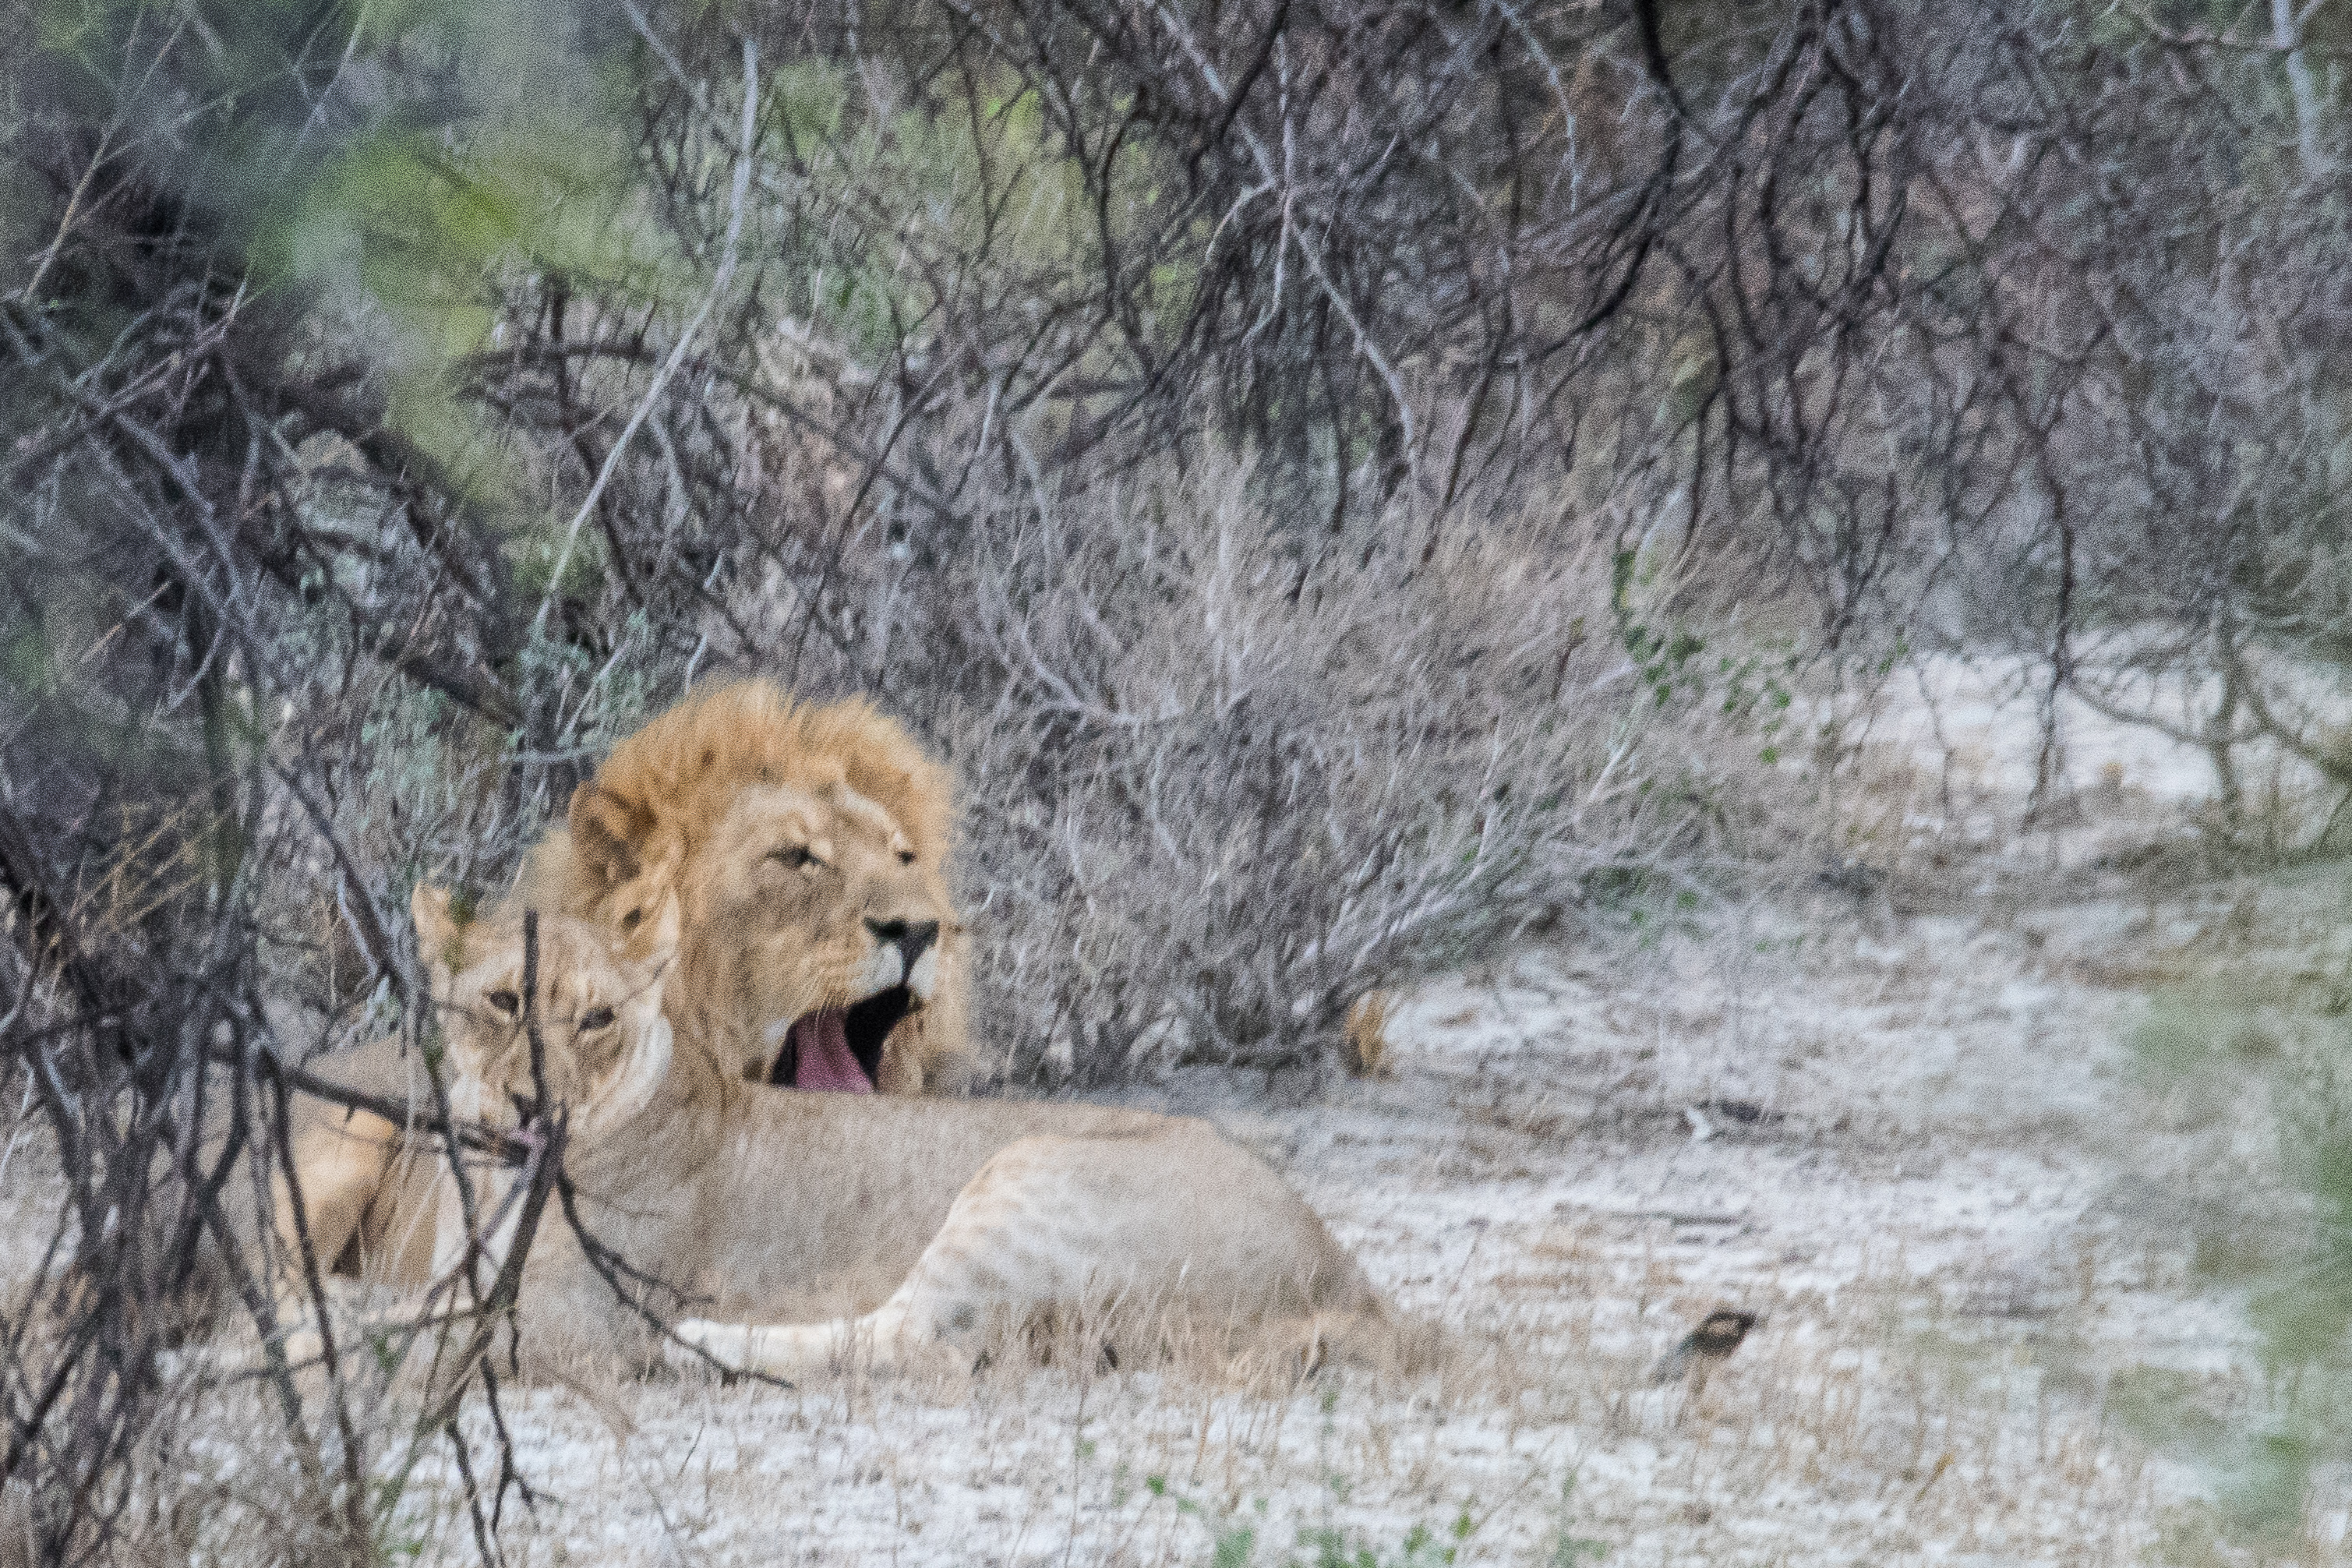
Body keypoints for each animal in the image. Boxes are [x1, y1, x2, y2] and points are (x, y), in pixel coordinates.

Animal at [402, 884, 1392, 1382]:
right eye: (504, 1000)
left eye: (597, 1018)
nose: (530, 1103)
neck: (490, 1171)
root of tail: (1343, 1270)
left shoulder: (579, 1314)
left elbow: (402, 1337)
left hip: (1028, 1170)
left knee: (921, 1340)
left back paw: (698, 1342)